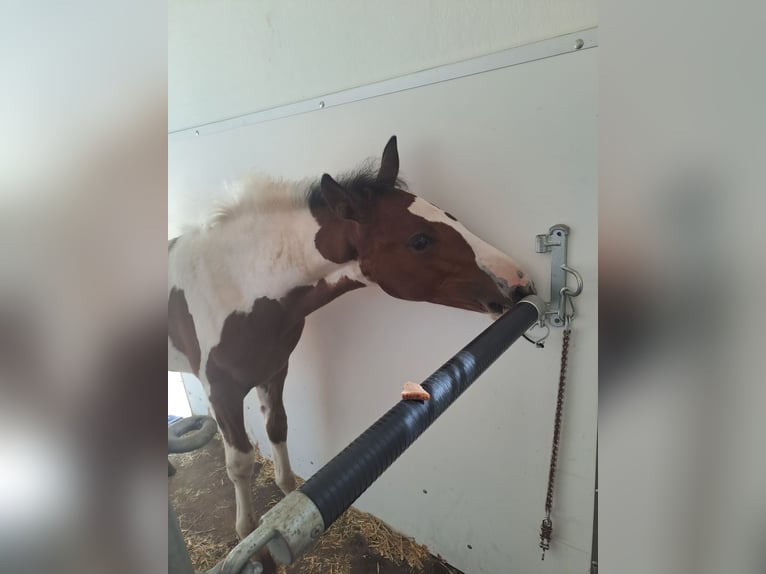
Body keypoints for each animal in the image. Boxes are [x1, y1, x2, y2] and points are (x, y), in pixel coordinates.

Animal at [170, 137, 536, 544]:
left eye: (449, 215)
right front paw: (248, 534)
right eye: (419, 240)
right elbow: (240, 464)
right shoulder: (221, 392)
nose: (518, 284)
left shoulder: (274, 371)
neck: (239, 285)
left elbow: (278, 429)